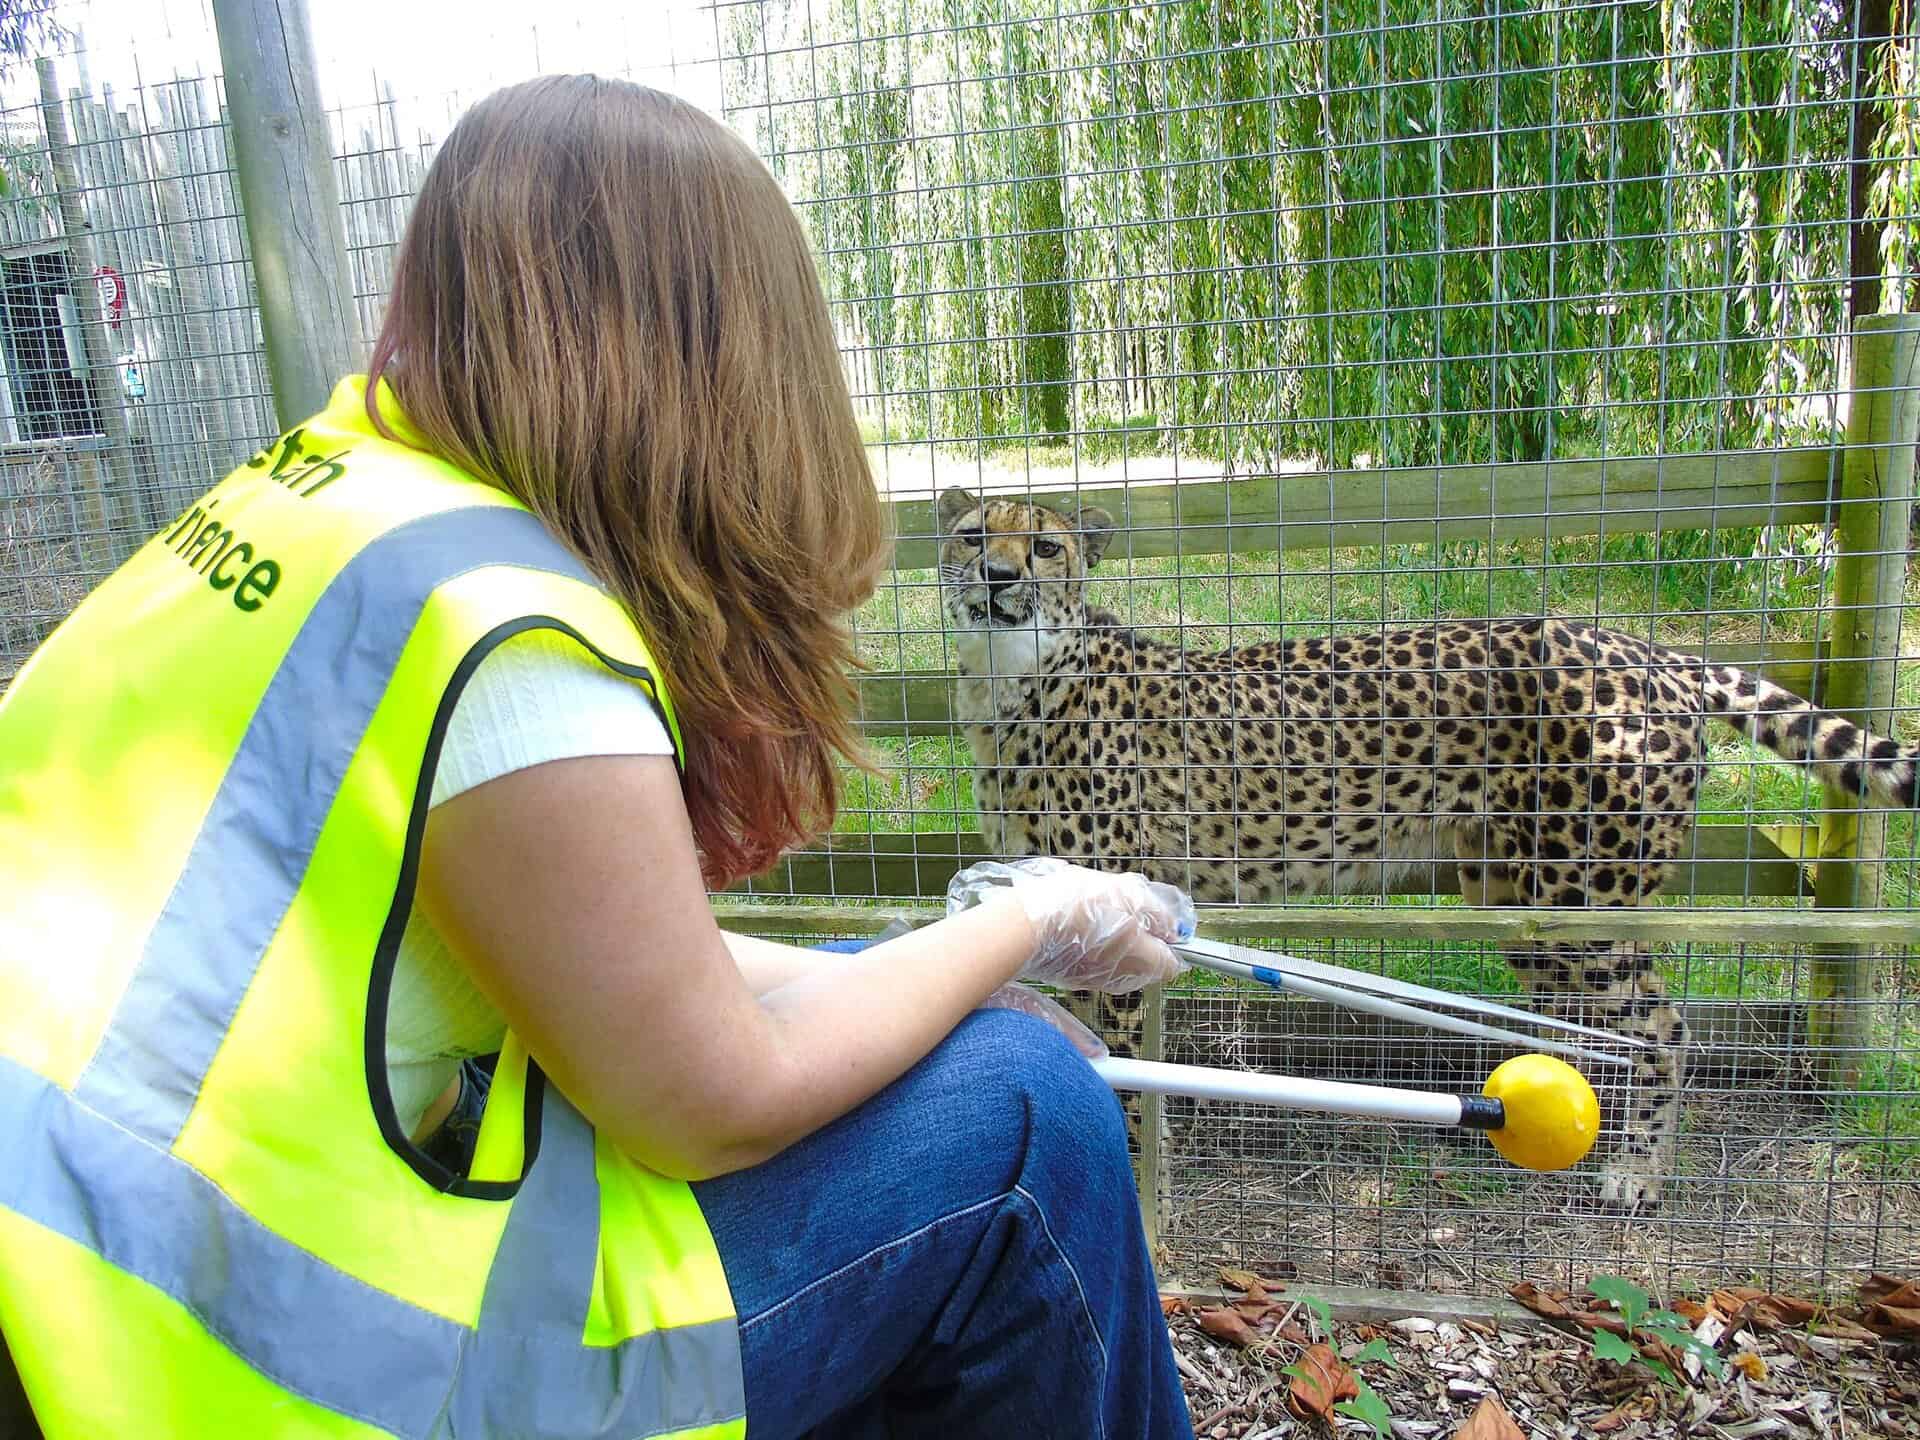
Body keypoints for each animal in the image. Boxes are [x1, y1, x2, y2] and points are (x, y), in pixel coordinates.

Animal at [935, 485, 1920, 1212]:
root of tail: (1642, 648)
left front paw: (1147, 1205)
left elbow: (1133, 1086)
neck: (1011, 681)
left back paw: (1638, 1171)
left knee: (1663, 1029)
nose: (995, 575)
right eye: (972, 534)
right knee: (1594, 1026)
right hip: (1519, 902)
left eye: (1046, 547)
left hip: (1582, 902)